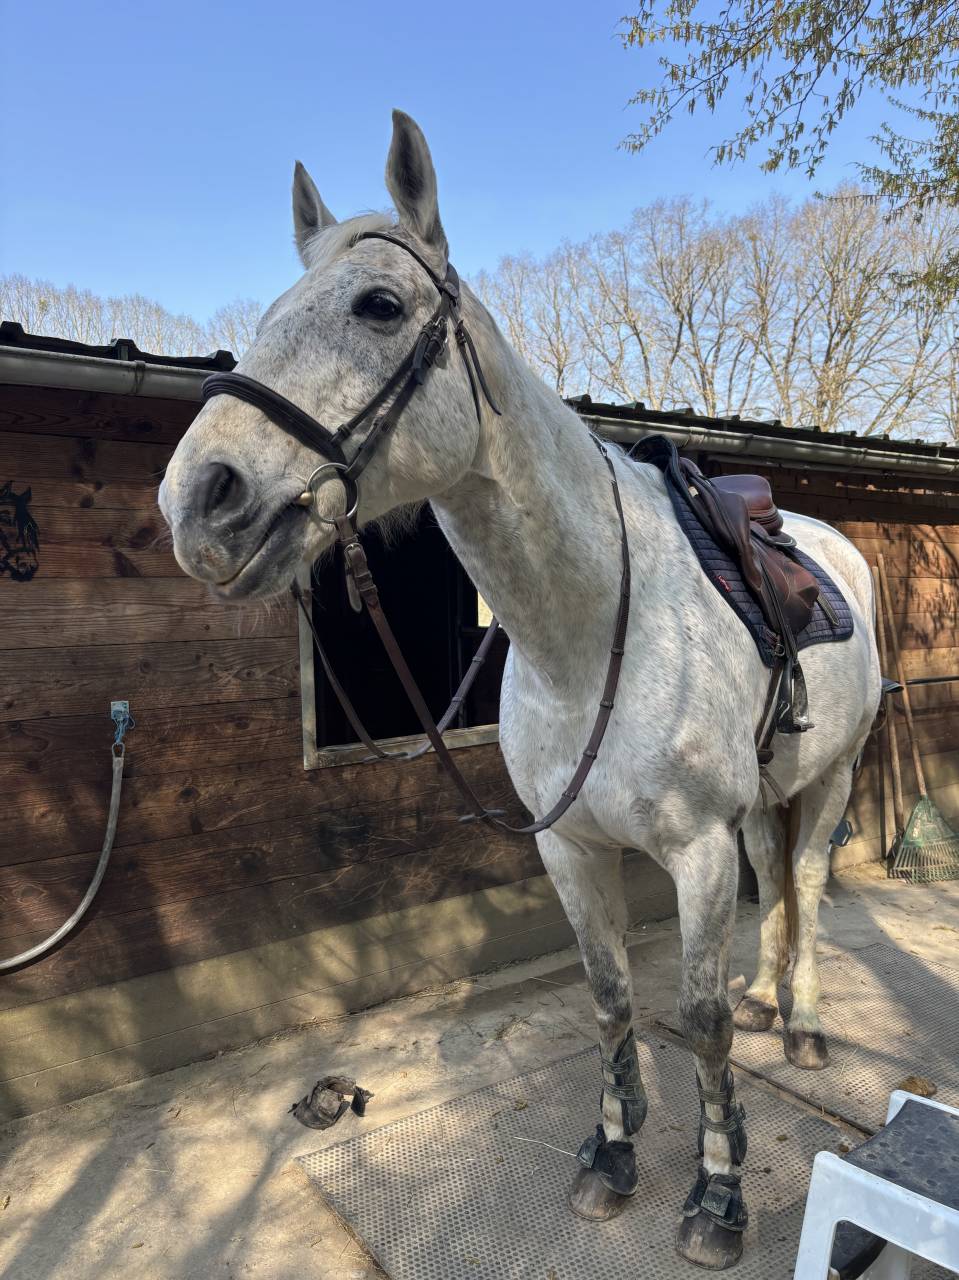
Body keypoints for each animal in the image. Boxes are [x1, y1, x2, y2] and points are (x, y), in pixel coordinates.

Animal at [158, 111, 880, 1268]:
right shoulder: (570, 847)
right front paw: (612, 1154)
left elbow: (700, 1016)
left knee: (806, 883)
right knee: (776, 885)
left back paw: (804, 1023)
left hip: (833, 777)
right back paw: (776, 1006)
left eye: (379, 305)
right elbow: (610, 996)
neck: (588, 633)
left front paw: (717, 1194)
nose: (198, 500)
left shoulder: (694, 852)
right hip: (763, 800)